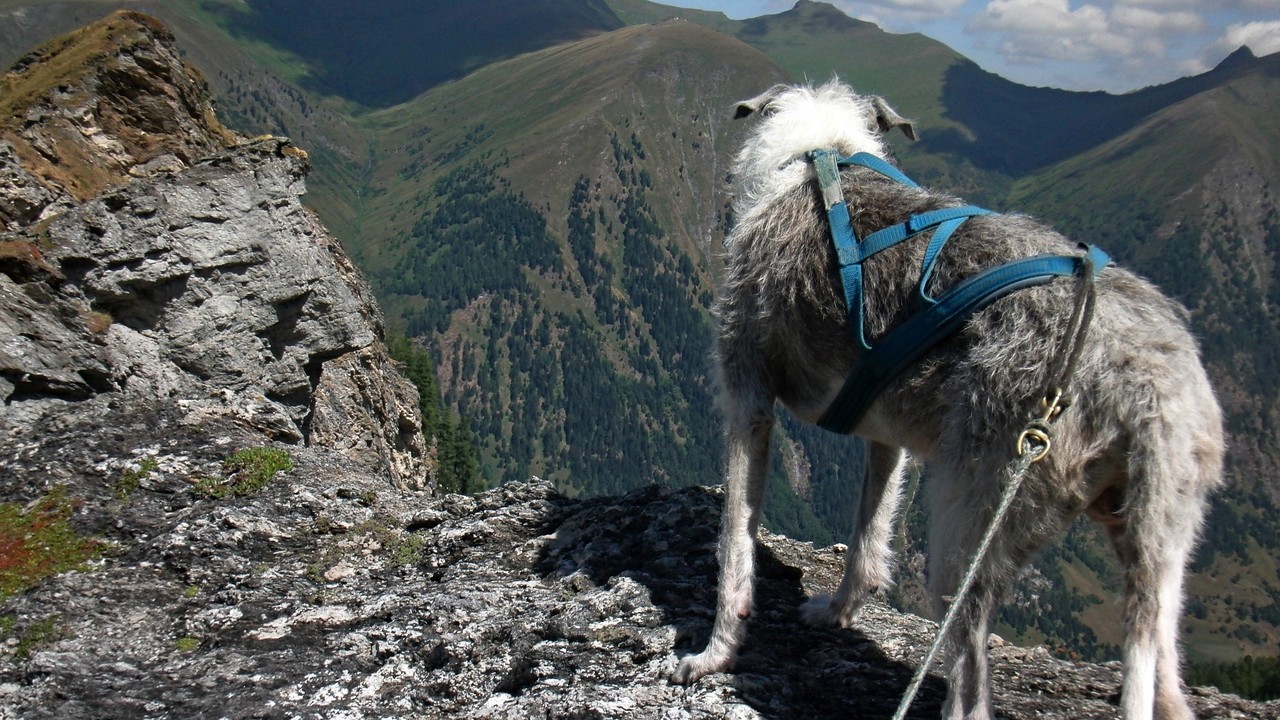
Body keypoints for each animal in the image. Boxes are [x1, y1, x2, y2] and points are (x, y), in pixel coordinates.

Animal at [675, 78, 1223, 717]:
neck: (822, 156)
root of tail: (1149, 383)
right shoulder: (885, 438)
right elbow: (868, 538)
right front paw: (837, 611)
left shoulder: (749, 401)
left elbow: (734, 544)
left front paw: (714, 654)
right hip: (1161, 537)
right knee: (1161, 663)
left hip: (972, 521)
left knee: (971, 682)